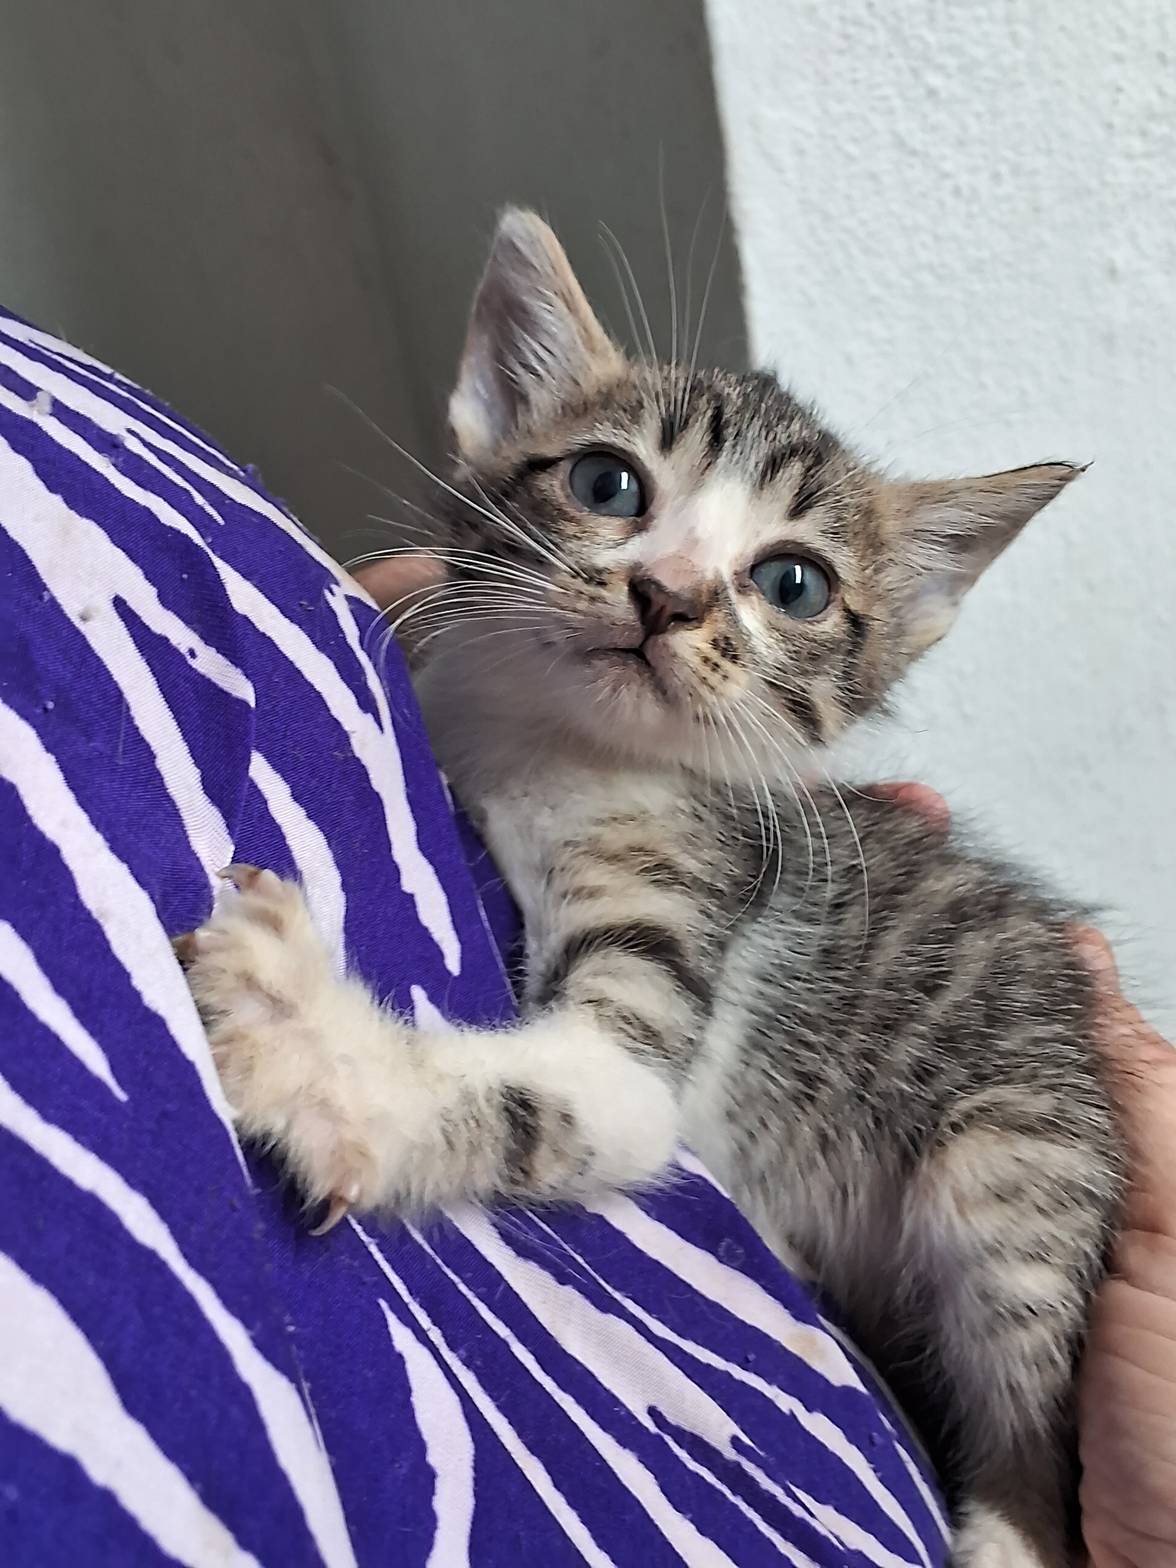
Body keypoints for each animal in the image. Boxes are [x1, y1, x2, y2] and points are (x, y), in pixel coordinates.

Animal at [179, 209, 1126, 1567]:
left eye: (792, 583)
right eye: (606, 484)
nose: (667, 594)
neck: (556, 755)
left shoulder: (670, 960)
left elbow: (532, 1087)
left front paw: (309, 1040)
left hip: (1017, 1164)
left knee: (1033, 1419)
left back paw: (1005, 1528)